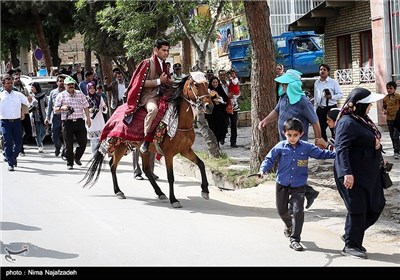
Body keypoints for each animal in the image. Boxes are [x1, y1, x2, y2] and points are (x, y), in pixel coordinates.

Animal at [79, 73, 214, 209]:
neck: (179, 120)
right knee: (113, 165)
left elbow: (201, 164)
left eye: (207, 84)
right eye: (196, 84)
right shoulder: (169, 153)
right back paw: (118, 191)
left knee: (146, 170)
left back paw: (160, 193)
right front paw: (174, 200)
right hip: (121, 146)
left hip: (143, 149)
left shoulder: (185, 150)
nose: (209, 106)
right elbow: (170, 176)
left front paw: (205, 191)